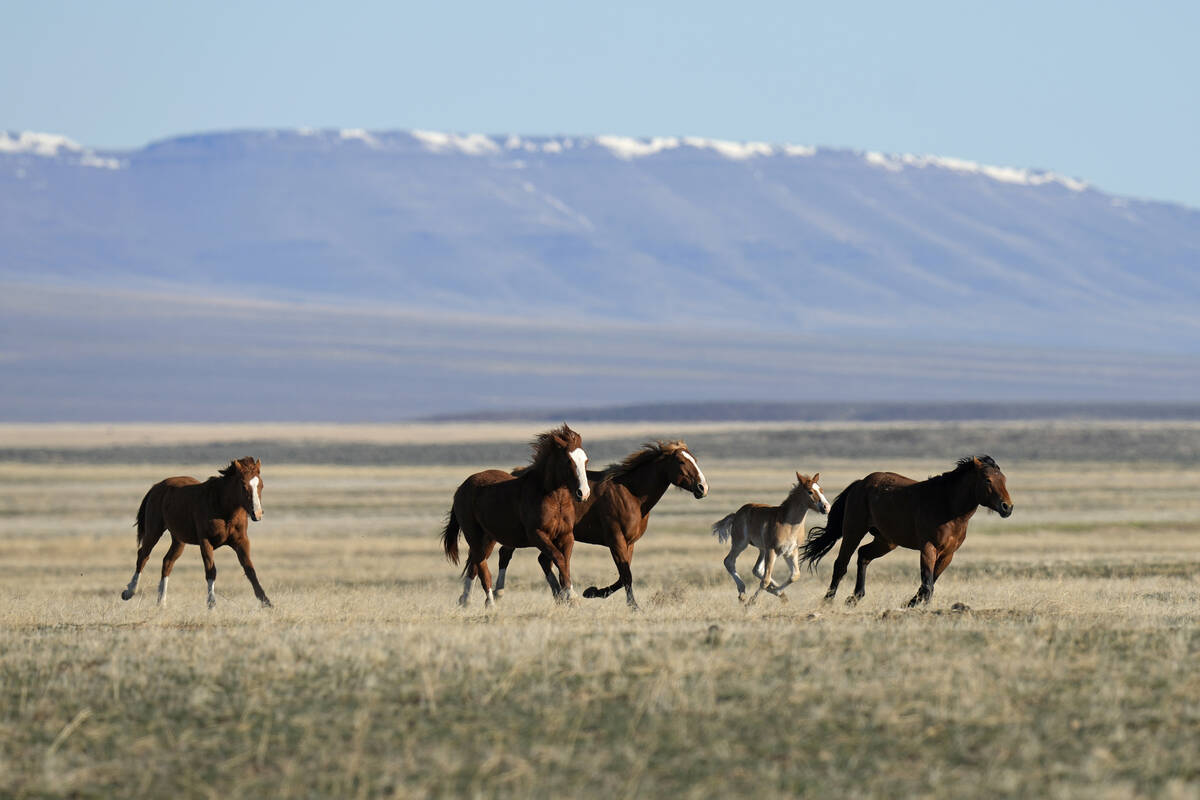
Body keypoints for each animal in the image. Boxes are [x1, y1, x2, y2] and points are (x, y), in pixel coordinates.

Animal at [120, 457, 272, 608]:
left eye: (261, 485)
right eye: (243, 486)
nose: (257, 514)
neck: (222, 508)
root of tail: (157, 487)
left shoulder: (241, 541)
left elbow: (250, 569)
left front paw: (266, 601)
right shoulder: (205, 541)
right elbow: (211, 571)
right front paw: (211, 603)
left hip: (179, 540)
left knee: (167, 562)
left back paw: (161, 602)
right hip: (154, 531)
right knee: (143, 556)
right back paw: (129, 592)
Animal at [441, 424, 590, 607]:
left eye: (585, 461)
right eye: (568, 460)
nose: (583, 493)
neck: (554, 499)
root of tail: (461, 488)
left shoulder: (566, 535)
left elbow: (564, 561)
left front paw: (567, 595)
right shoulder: (537, 535)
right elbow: (558, 558)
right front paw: (570, 596)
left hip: (488, 538)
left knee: (474, 565)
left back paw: (467, 601)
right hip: (474, 536)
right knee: (482, 567)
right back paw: (490, 603)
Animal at [493, 441, 709, 610]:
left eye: (695, 460)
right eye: (681, 462)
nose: (703, 488)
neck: (631, 494)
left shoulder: (629, 543)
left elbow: (623, 576)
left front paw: (592, 591)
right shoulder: (616, 540)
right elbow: (626, 575)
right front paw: (632, 606)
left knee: (543, 560)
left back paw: (560, 597)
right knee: (507, 554)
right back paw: (498, 593)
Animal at [712, 472, 830, 603]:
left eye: (821, 490)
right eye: (810, 491)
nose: (826, 507)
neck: (788, 524)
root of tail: (736, 514)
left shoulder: (790, 551)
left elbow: (795, 575)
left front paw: (778, 592)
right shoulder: (772, 550)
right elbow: (766, 580)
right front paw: (751, 602)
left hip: (762, 549)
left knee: (757, 569)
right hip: (741, 543)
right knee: (729, 561)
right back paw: (742, 592)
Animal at [800, 455, 1013, 607]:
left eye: (1004, 479)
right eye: (987, 480)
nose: (1007, 507)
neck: (947, 505)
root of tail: (860, 483)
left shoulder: (948, 554)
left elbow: (931, 582)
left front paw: (911, 603)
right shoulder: (928, 548)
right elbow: (927, 583)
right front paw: (916, 605)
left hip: (886, 541)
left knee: (863, 555)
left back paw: (854, 598)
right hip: (854, 531)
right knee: (841, 564)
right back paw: (828, 601)